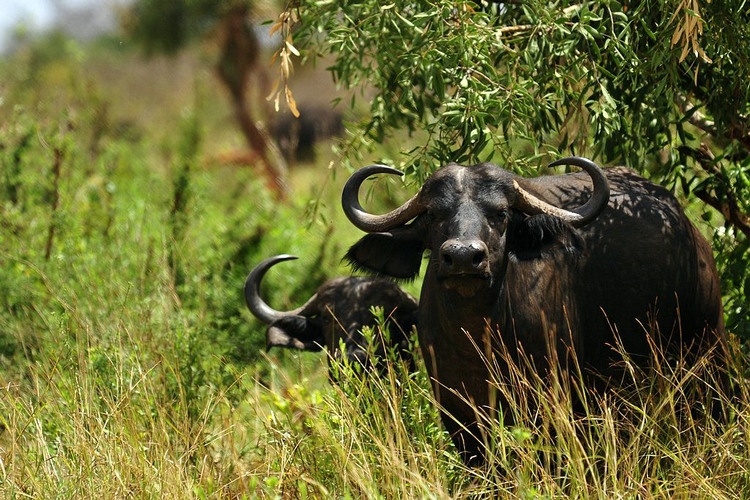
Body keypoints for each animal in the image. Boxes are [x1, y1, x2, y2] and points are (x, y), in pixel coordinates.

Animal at [342, 157, 728, 464]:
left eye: (501, 214)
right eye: (434, 214)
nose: (464, 256)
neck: (479, 340)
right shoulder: (458, 414)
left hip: (706, 347)